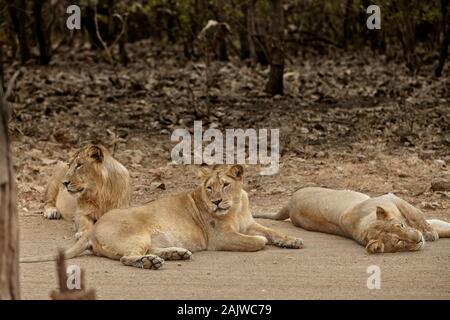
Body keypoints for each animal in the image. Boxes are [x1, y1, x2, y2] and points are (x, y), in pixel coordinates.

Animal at [20, 165, 302, 268]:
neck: (236, 206)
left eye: (225, 185)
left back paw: (175, 254)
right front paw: (263, 243)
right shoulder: (221, 238)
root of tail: (92, 230)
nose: (216, 201)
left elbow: (272, 231)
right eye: (209, 187)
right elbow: (257, 242)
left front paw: (292, 241)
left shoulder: (250, 223)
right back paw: (152, 263)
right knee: (127, 257)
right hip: (137, 234)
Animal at [253, 186, 450, 254]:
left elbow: (418, 216)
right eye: (399, 242)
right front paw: (431, 233)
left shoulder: (391, 198)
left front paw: (430, 232)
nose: (419, 239)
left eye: (400, 225)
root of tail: (289, 204)